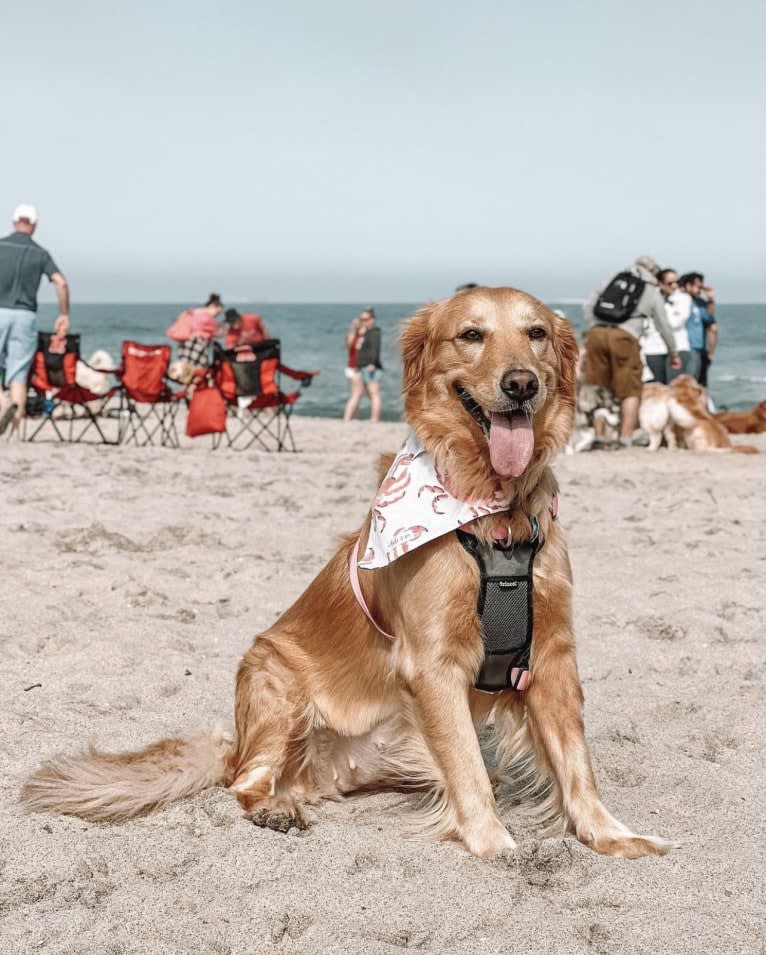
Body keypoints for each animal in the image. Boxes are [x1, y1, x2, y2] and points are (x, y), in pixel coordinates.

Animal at [19, 288, 672, 864]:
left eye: (535, 333)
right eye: (472, 335)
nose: (521, 384)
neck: (492, 510)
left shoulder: (552, 653)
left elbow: (576, 762)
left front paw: (611, 836)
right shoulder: (433, 663)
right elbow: (469, 767)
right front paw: (495, 845)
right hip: (274, 679)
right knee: (245, 782)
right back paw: (273, 807)